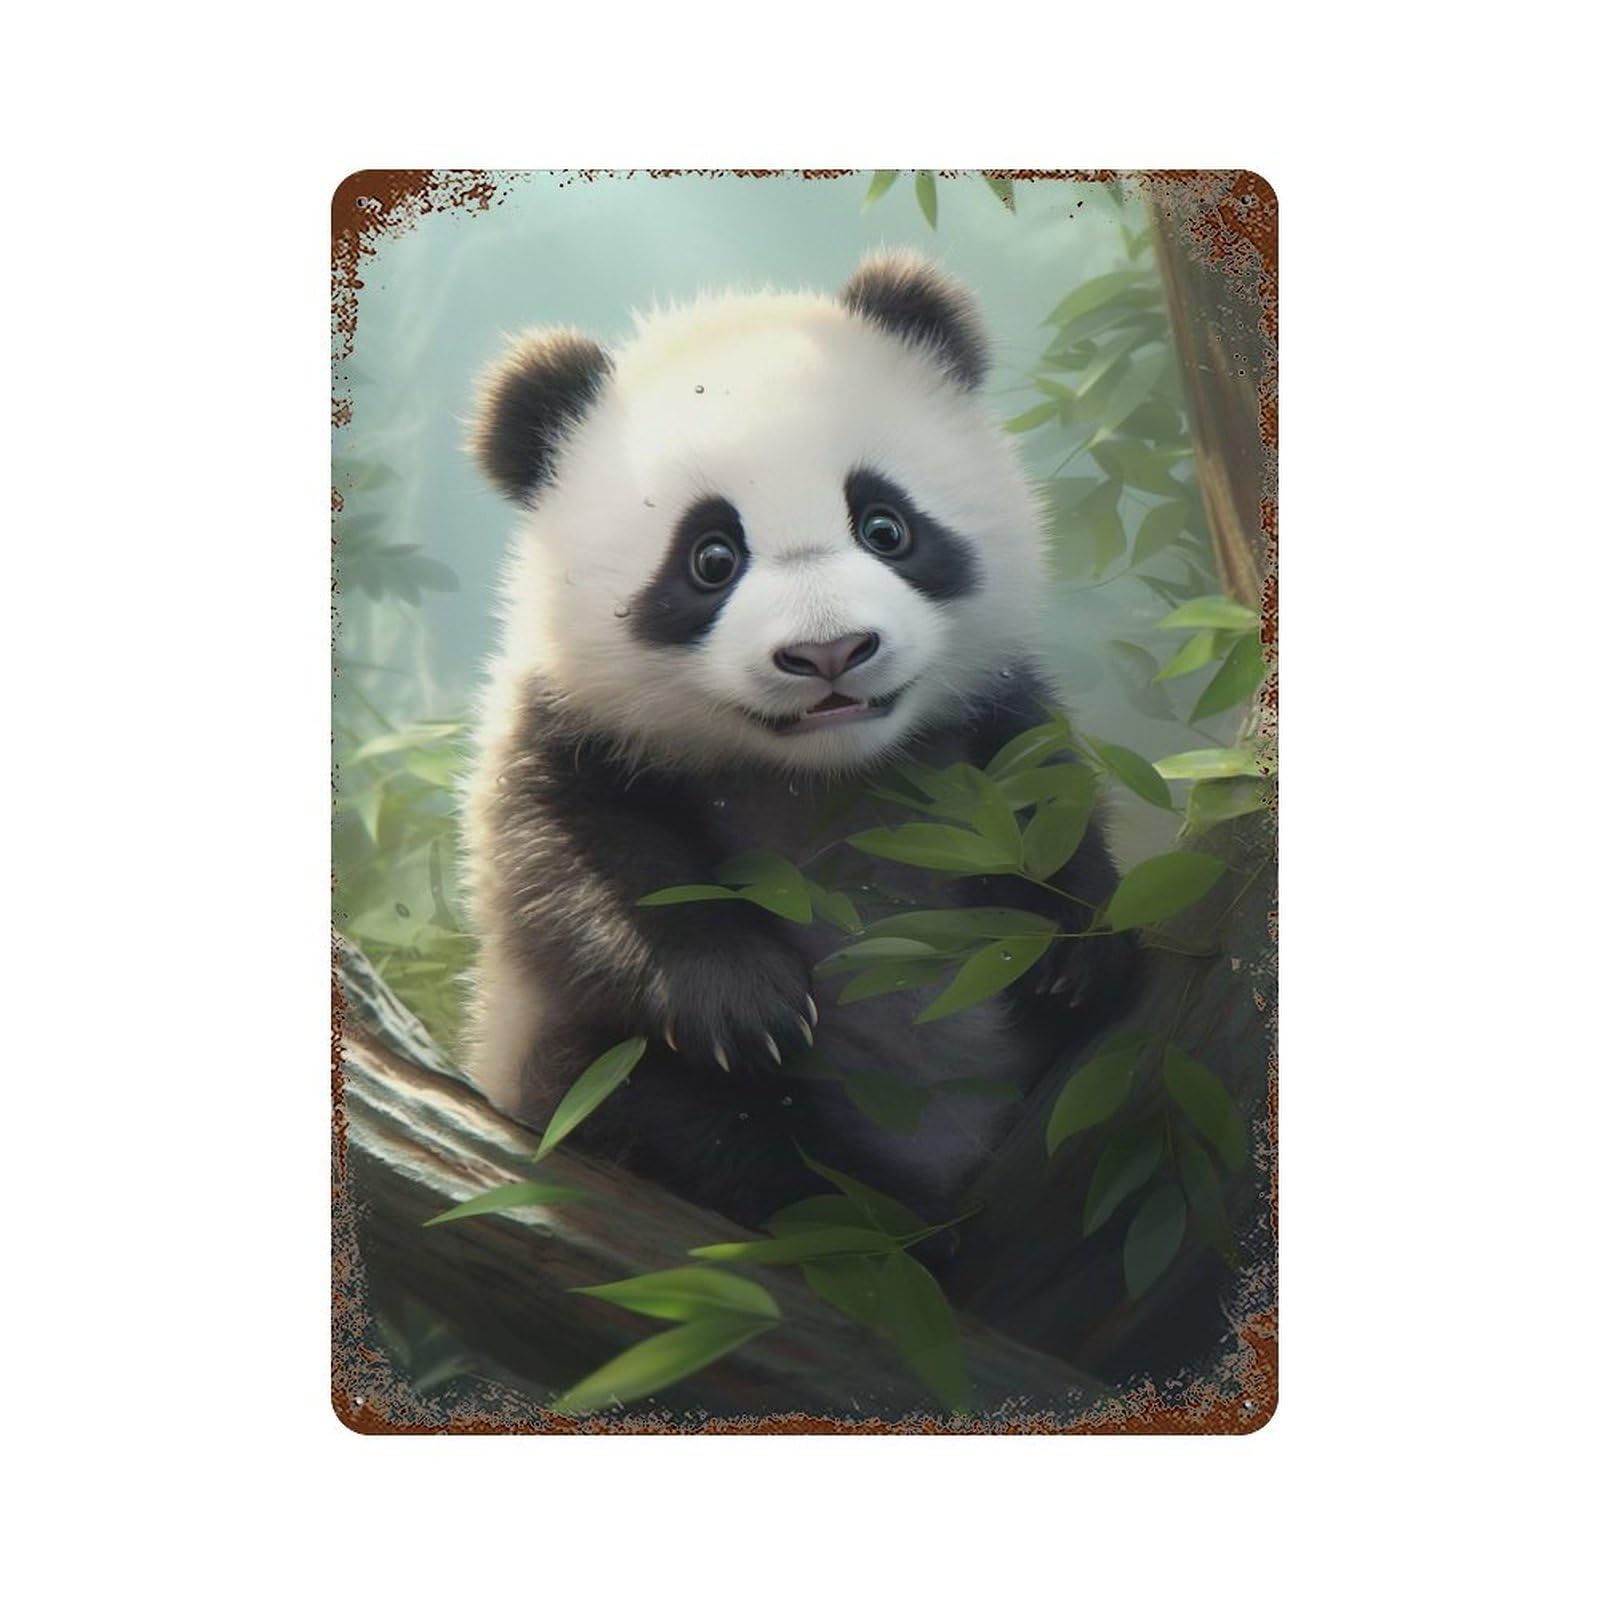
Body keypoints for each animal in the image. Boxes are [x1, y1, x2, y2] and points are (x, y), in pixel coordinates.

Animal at [460, 250, 1136, 1230]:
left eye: (885, 526)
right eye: (711, 557)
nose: (830, 653)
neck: (819, 777)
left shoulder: (981, 719)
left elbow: (1042, 795)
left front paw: (1069, 950)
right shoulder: (565, 729)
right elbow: (561, 871)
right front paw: (744, 1005)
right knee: (675, 1119)